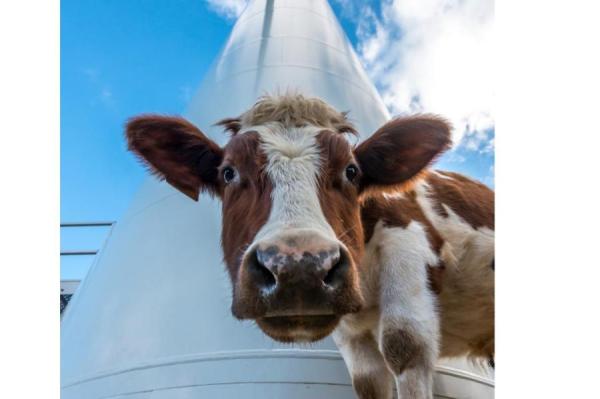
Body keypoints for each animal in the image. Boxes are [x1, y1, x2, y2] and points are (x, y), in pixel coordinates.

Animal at [125, 94, 492, 399]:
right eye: (228, 172)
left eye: (351, 170)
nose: (298, 268)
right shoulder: (351, 332)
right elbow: (369, 378)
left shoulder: (407, 247)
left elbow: (405, 346)